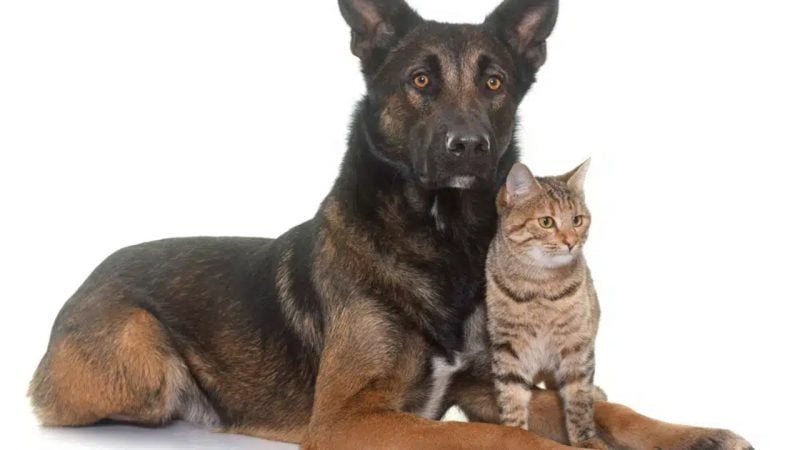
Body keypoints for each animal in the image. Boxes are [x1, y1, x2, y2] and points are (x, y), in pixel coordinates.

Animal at [485, 160, 608, 450]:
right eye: (546, 222)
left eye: (577, 220)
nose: (571, 242)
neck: (540, 285)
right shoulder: (508, 345)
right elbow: (511, 395)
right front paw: (515, 433)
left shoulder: (577, 345)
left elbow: (578, 399)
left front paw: (586, 440)